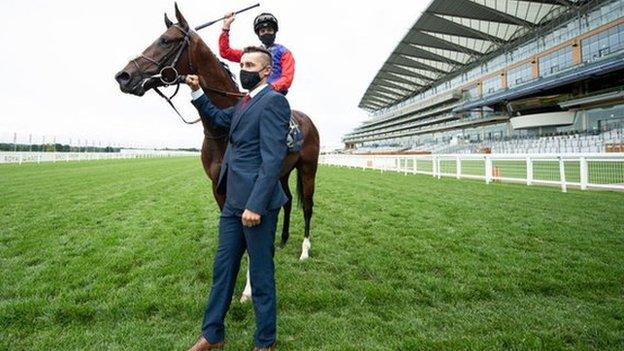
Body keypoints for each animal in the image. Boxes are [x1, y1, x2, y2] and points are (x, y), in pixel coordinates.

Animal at [116, 4, 320, 284]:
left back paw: (304, 250)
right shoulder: (218, 186)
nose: (123, 76)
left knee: (307, 206)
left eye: (165, 40)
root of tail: (308, 120)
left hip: (308, 168)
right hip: (282, 172)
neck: (223, 130)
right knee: (287, 201)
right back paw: (282, 241)